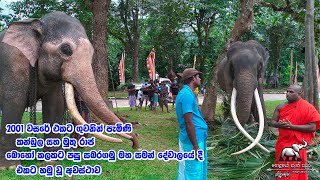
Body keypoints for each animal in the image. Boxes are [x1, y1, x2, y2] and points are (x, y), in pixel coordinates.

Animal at [0, 10, 139, 169]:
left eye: (91, 52)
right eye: (65, 49)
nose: (135, 145)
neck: (37, 23)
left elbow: (55, 104)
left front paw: (51, 161)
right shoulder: (12, 62)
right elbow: (14, 103)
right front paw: (9, 167)